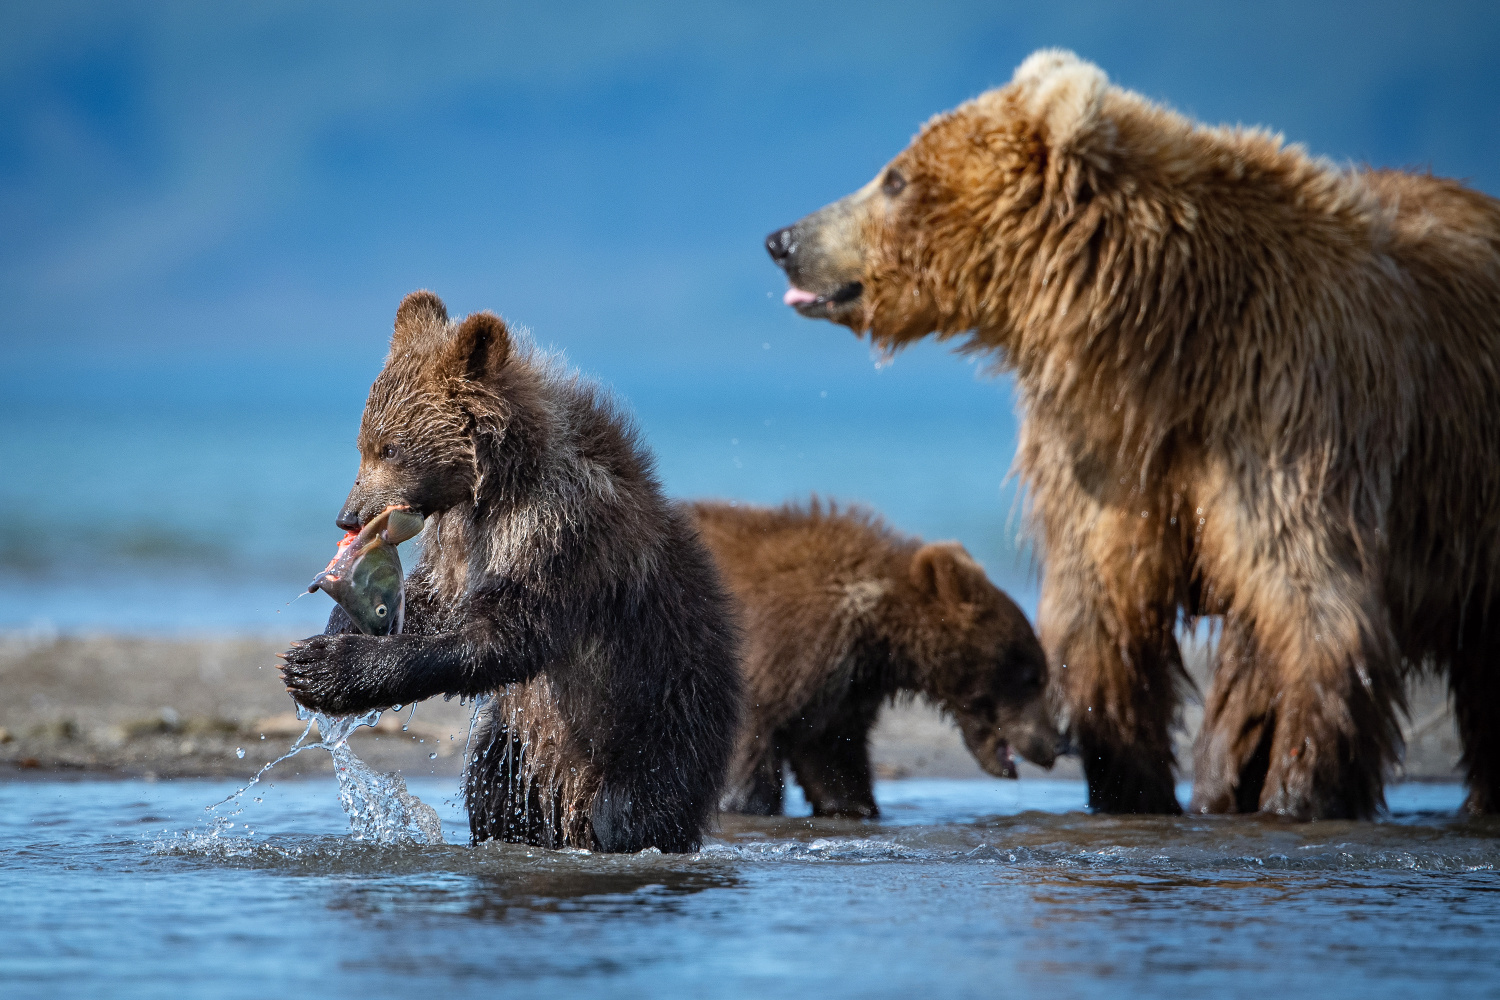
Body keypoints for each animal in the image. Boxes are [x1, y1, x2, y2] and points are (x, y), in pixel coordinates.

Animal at [768, 48, 1500, 821]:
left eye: (895, 177)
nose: (783, 239)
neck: (1167, 344)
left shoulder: (1289, 408)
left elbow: (1312, 603)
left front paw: (1301, 794)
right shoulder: (1104, 455)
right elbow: (1105, 611)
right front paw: (1130, 785)